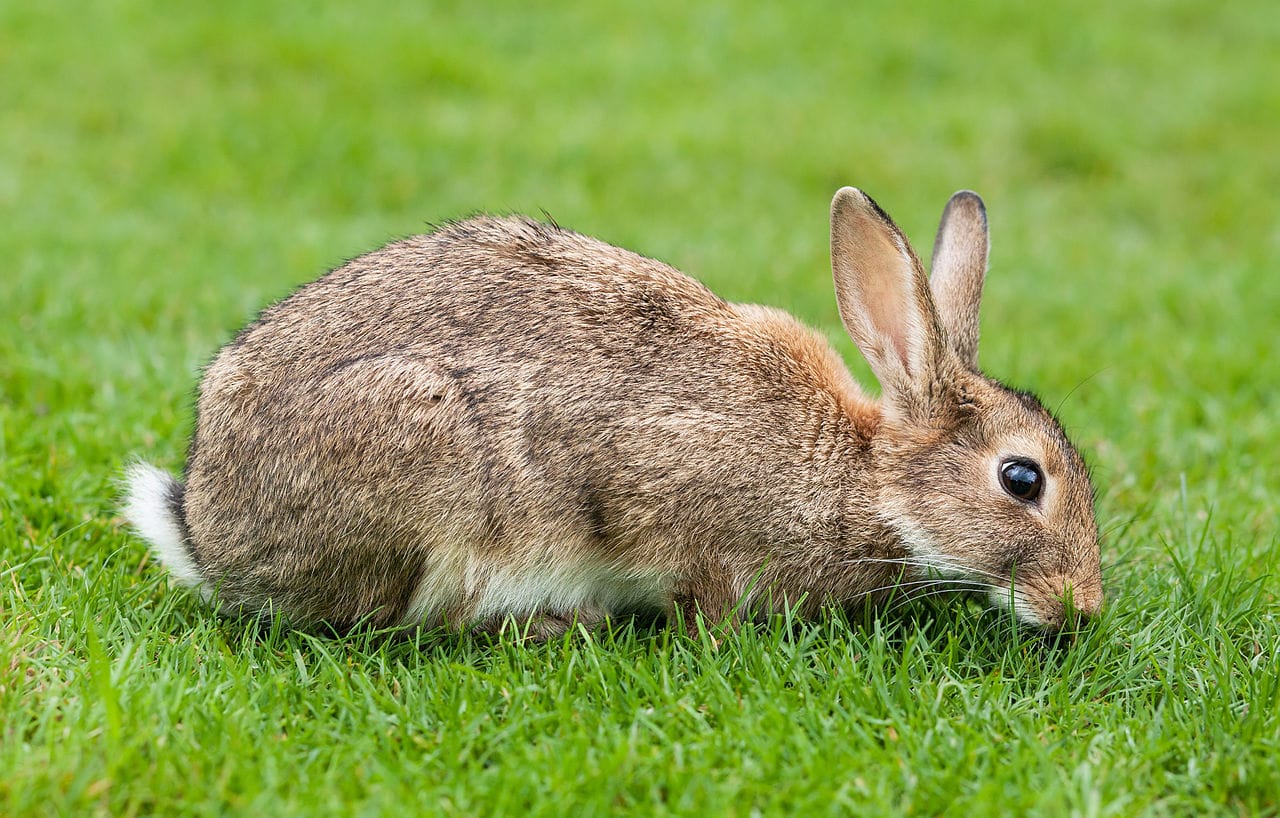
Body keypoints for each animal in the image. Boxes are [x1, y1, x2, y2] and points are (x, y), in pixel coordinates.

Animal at [127, 190, 1100, 640]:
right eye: (1022, 478)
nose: (1083, 607)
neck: (865, 478)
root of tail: (207, 530)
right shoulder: (677, 503)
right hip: (427, 472)